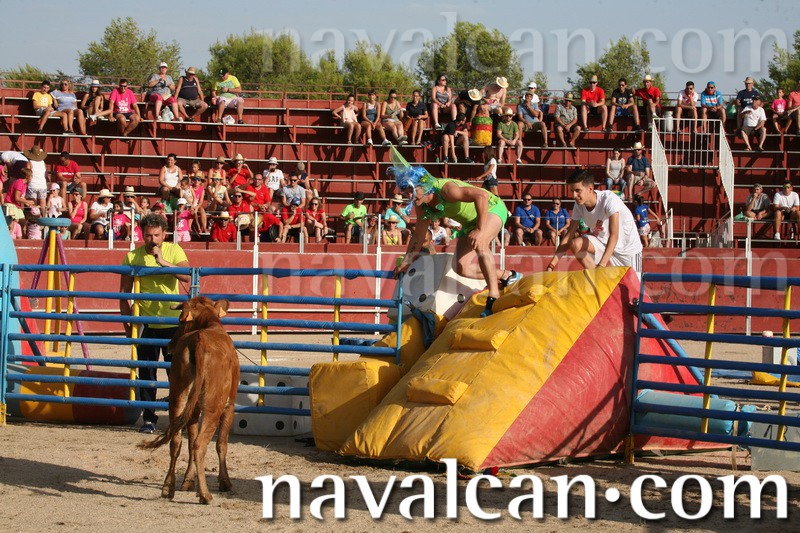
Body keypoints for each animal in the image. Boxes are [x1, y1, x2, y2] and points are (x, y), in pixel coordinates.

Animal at [139, 296, 240, 505]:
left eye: (179, 320)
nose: (169, 345)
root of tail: (198, 341)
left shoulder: (193, 410)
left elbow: (189, 440)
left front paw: (187, 481)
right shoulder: (229, 406)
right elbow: (221, 444)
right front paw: (224, 482)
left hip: (178, 397)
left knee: (176, 440)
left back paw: (168, 488)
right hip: (213, 407)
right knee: (199, 444)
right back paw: (205, 494)